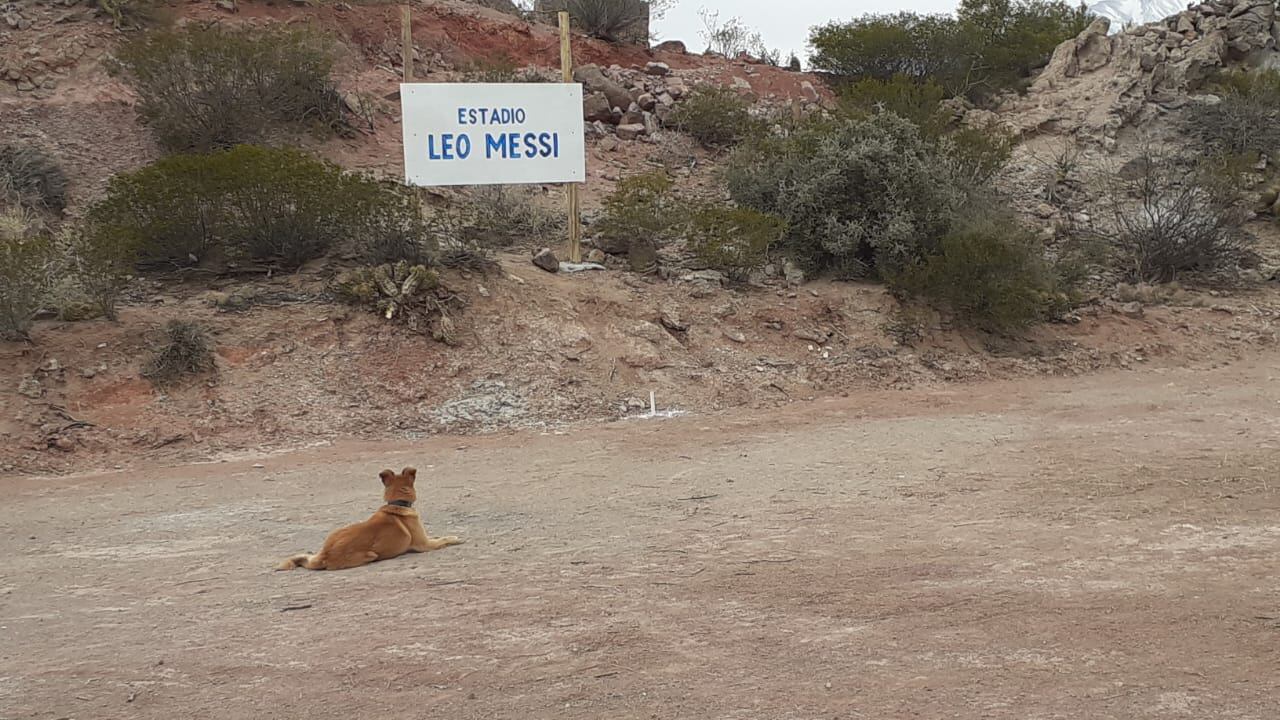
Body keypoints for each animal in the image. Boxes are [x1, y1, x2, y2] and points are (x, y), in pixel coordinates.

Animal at [277, 466, 463, 571]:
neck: (397, 504)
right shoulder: (424, 544)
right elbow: (443, 539)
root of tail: (325, 555)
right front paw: (455, 538)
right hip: (371, 555)